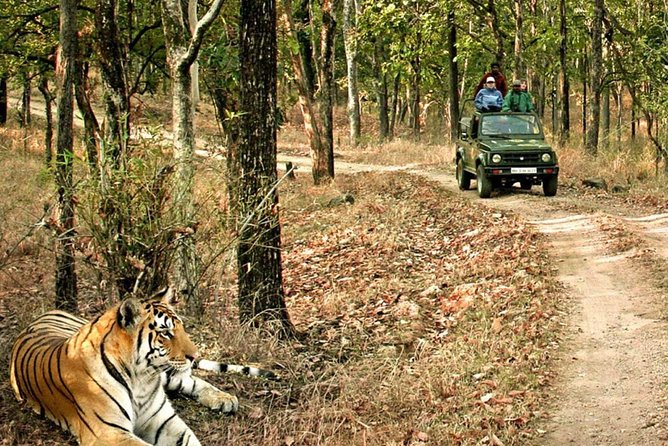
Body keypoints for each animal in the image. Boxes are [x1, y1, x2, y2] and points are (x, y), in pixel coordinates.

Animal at [9, 288, 278, 446]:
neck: (142, 379)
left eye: (182, 327)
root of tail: (49, 311)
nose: (194, 355)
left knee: (192, 379)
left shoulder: (164, 421)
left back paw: (224, 399)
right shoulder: (108, 432)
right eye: (166, 333)